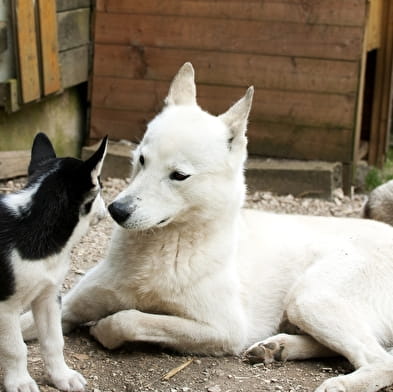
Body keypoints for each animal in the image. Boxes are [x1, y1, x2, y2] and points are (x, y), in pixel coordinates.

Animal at [0, 133, 107, 390]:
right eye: (101, 188)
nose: (108, 208)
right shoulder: (5, 307)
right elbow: (14, 348)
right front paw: (20, 382)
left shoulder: (48, 296)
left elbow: (54, 340)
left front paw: (62, 376)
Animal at [23, 62, 393, 390]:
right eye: (141, 159)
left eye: (179, 175)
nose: (117, 210)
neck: (160, 253)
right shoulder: (70, 306)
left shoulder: (224, 330)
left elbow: (130, 319)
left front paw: (105, 328)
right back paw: (277, 347)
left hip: (310, 298)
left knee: (381, 360)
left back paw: (337, 383)